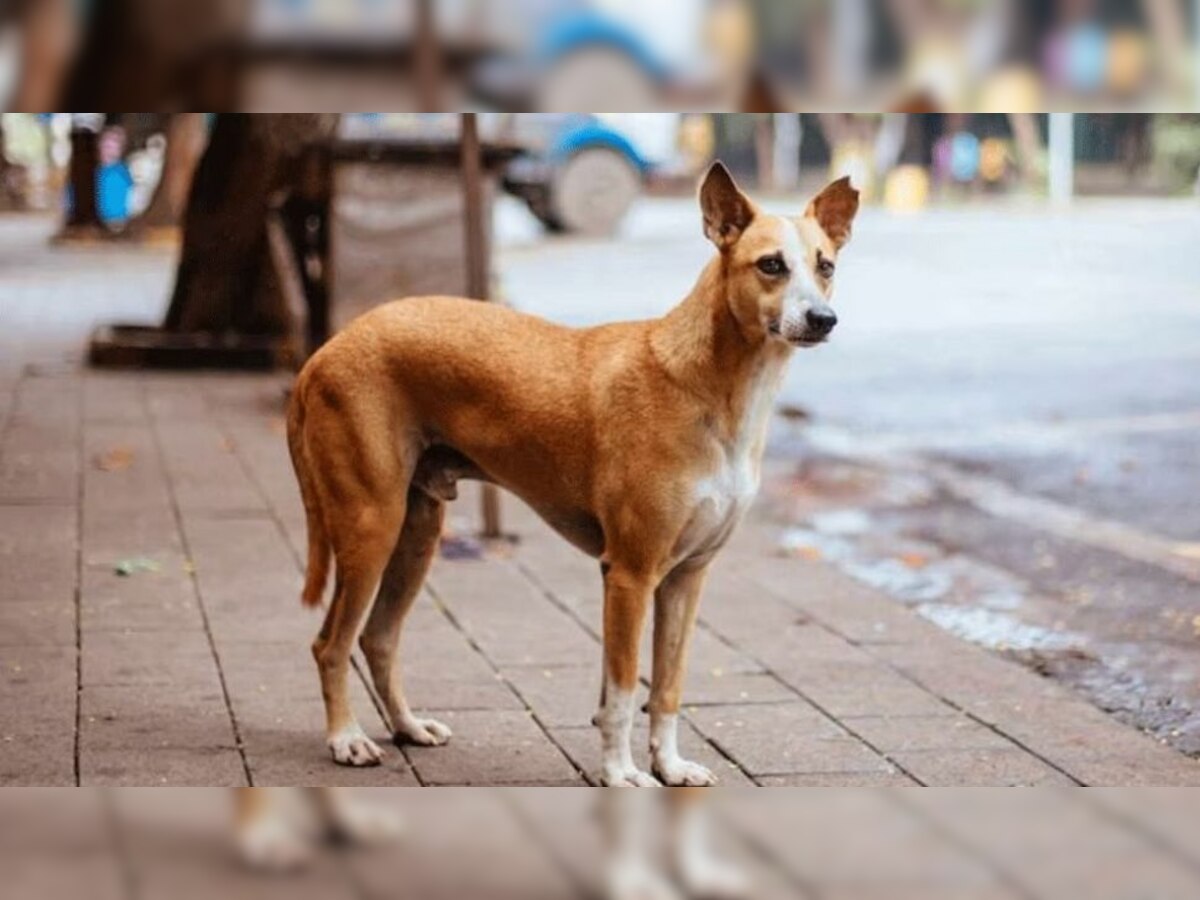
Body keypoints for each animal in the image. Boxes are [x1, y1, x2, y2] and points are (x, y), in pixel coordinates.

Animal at [285, 165, 859, 787]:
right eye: (771, 264)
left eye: (826, 266)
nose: (823, 320)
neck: (713, 388)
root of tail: (326, 351)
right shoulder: (630, 574)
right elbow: (623, 691)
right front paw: (620, 773)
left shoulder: (687, 578)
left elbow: (667, 689)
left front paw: (669, 765)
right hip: (372, 526)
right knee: (329, 644)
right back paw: (346, 738)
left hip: (417, 533)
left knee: (378, 638)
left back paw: (409, 727)